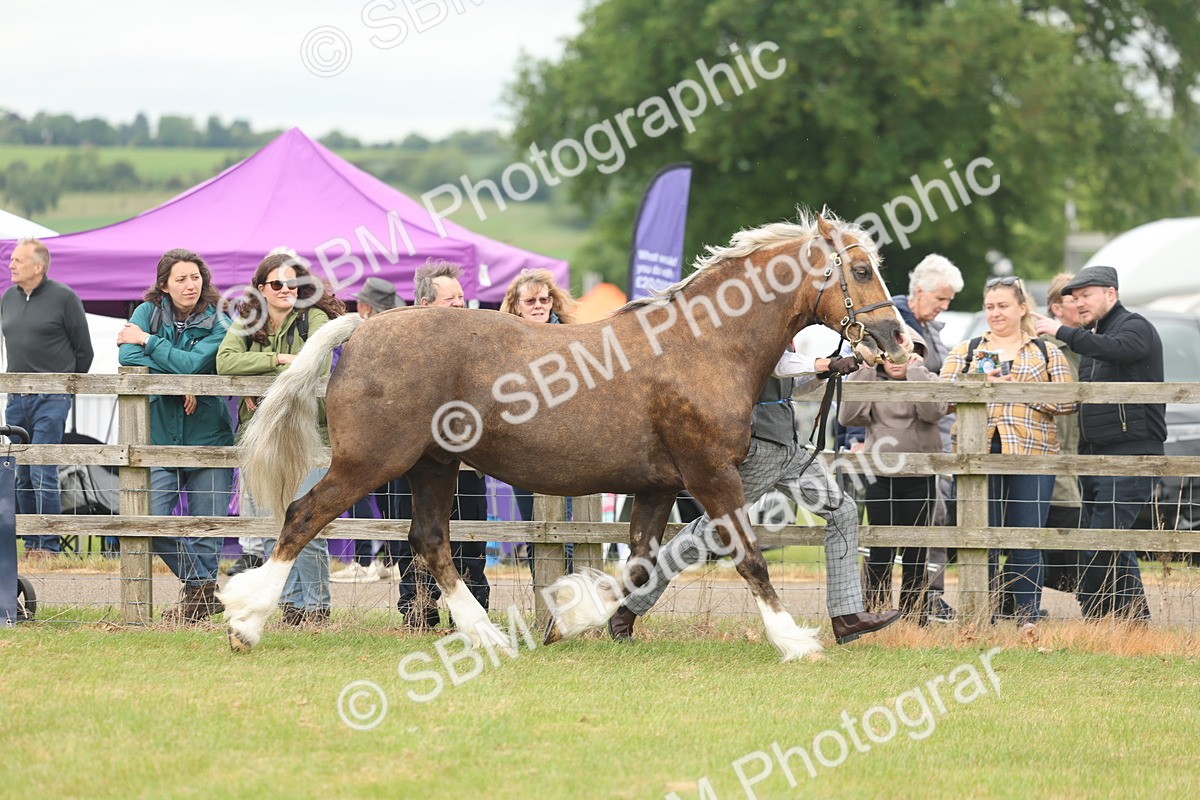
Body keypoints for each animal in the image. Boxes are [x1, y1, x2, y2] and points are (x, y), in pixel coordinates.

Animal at [218, 210, 910, 659]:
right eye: (860, 269)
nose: (900, 341)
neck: (703, 344)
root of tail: (360, 329)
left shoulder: (658, 487)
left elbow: (641, 564)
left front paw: (579, 619)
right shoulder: (712, 476)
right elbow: (747, 556)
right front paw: (794, 640)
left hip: (434, 467)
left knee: (431, 542)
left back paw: (488, 636)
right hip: (370, 463)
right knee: (303, 516)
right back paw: (244, 621)